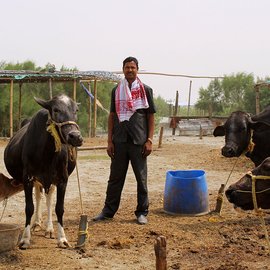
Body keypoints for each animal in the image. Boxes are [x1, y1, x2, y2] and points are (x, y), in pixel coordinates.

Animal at [3, 94, 82, 249]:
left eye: (76, 110)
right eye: (55, 109)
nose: (75, 136)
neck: (47, 153)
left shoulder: (62, 179)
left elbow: (59, 208)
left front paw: (62, 238)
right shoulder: (27, 178)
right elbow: (29, 207)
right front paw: (25, 239)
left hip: (49, 181)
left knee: (48, 198)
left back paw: (49, 229)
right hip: (37, 180)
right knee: (39, 196)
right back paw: (37, 223)